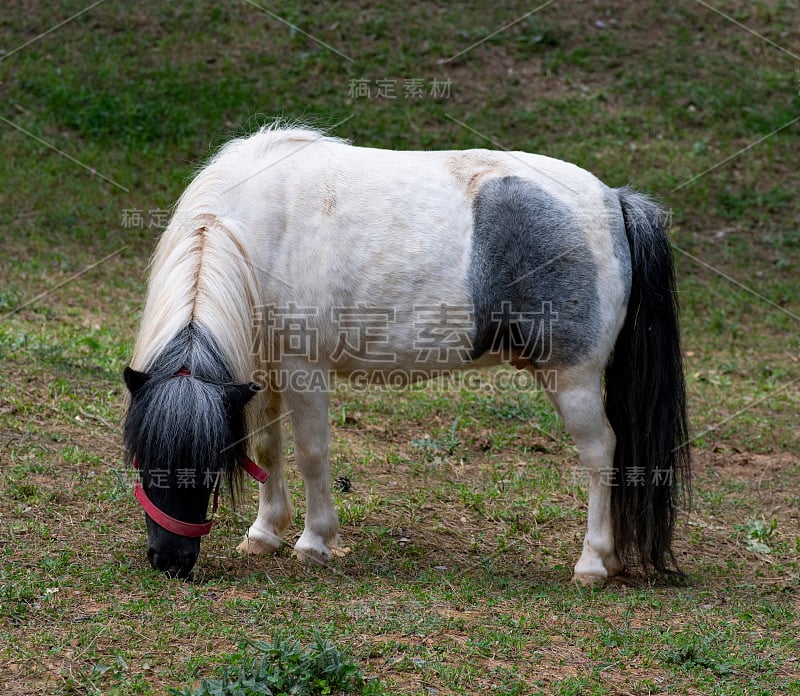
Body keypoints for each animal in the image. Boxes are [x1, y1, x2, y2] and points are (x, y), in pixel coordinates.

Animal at [122, 126, 692, 580]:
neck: (256, 234)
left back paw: (593, 562)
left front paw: (314, 542)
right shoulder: (262, 370)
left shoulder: (305, 370)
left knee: (600, 454)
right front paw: (265, 533)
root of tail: (612, 201)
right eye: (142, 454)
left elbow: (311, 452)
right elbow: (267, 448)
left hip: (572, 377)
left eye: (204, 464)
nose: (169, 561)